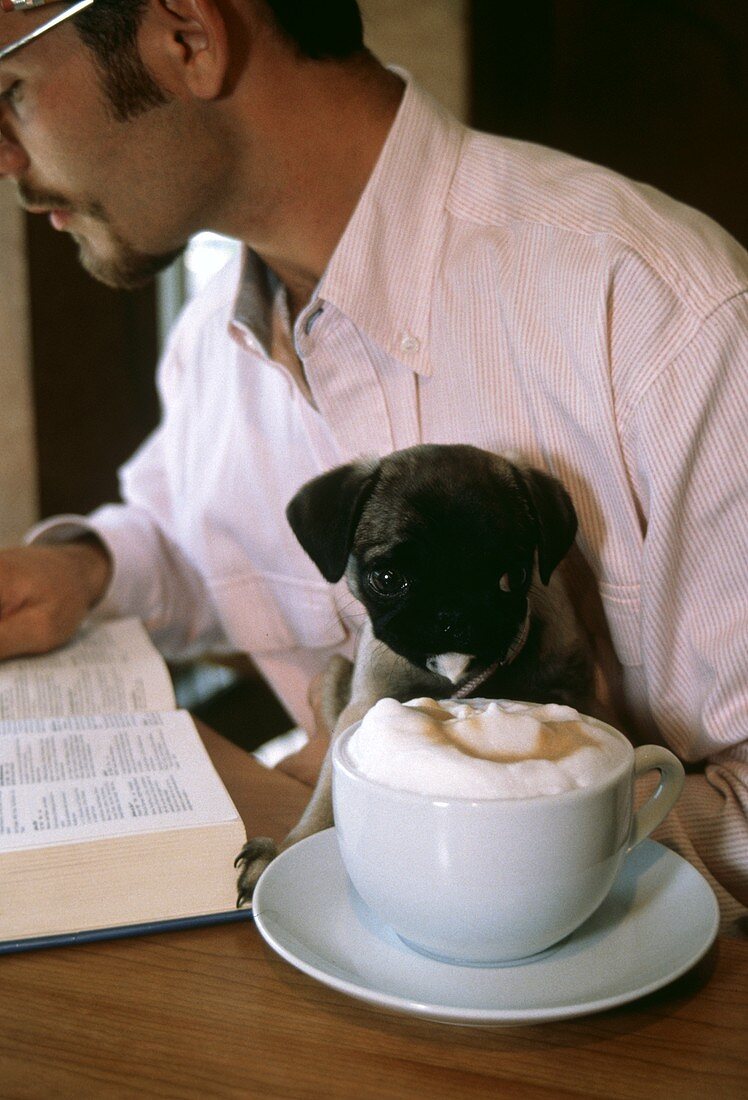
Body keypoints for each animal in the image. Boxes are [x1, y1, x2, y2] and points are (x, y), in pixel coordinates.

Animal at [235, 440, 594, 902]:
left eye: (511, 577)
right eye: (388, 578)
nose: (452, 614)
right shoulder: (363, 708)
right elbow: (326, 793)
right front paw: (288, 849)